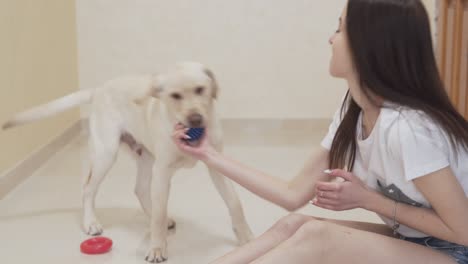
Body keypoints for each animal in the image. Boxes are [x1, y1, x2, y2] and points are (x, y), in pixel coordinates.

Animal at [2, 61, 252, 262]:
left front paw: (246, 236)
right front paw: (157, 247)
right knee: (88, 189)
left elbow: (234, 203)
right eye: (175, 96)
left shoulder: (216, 166)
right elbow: (158, 215)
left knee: (140, 190)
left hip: (146, 157)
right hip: (106, 153)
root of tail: (99, 89)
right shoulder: (162, 171)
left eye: (200, 89)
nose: (196, 119)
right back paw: (91, 222)